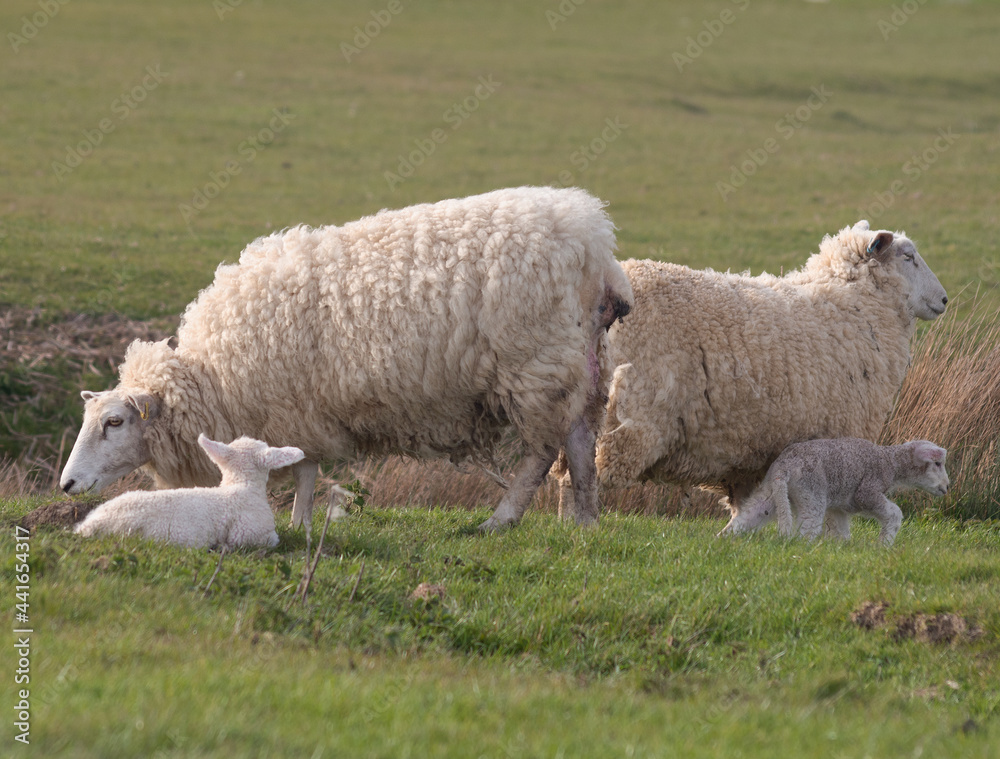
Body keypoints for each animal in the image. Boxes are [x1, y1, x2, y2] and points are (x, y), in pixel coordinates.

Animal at [59, 186, 633, 532]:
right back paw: (584, 522)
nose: (66, 485)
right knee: (581, 442)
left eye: (114, 422)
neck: (214, 375)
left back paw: (501, 520)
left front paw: (298, 523)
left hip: (535, 368)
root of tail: (596, 245)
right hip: (583, 365)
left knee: (540, 452)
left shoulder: (295, 410)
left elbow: (305, 471)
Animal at [584, 221, 947, 517]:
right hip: (636, 416)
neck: (853, 303)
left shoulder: (748, 457)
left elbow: (747, 504)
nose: (944, 300)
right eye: (908, 257)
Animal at [717, 438, 949, 546]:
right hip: (810, 492)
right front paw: (884, 543)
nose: (947, 488)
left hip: (771, 492)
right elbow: (894, 513)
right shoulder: (867, 492)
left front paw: (842, 547)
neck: (890, 462)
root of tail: (784, 468)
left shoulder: (840, 506)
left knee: (748, 516)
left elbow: (842, 529)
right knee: (806, 529)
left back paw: (722, 539)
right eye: (937, 463)